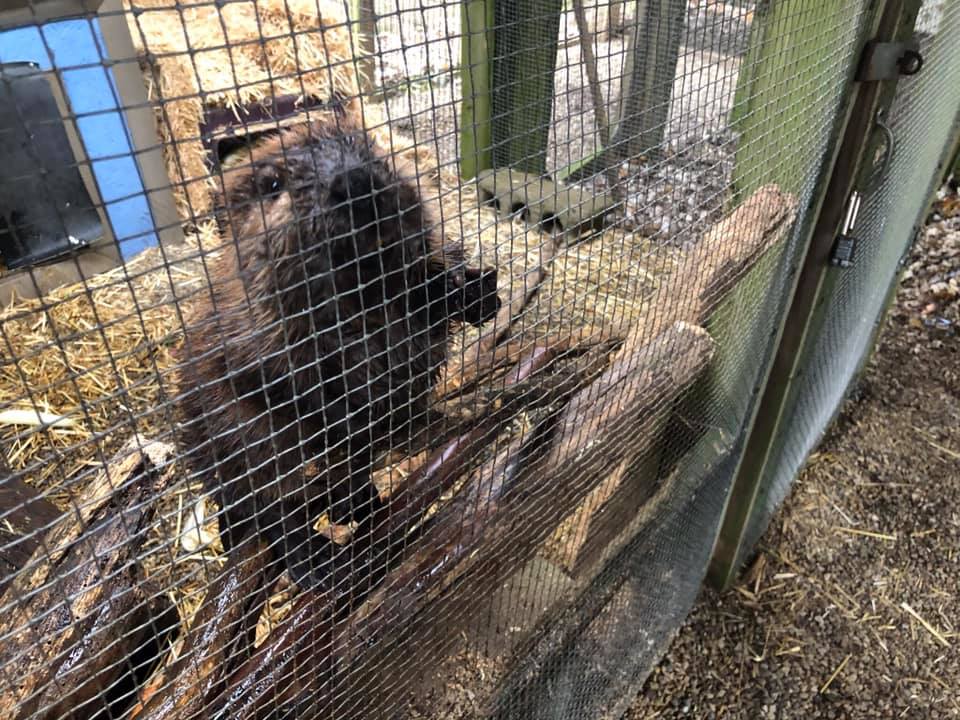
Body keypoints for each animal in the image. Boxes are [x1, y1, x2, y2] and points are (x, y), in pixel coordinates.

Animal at [175, 109, 498, 600]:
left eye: (366, 147)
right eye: (272, 183)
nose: (355, 180)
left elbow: (426, 290)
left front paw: (477, 292)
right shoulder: (248, 337)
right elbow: (280, 383)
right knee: (265, 504)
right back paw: (320, 556)